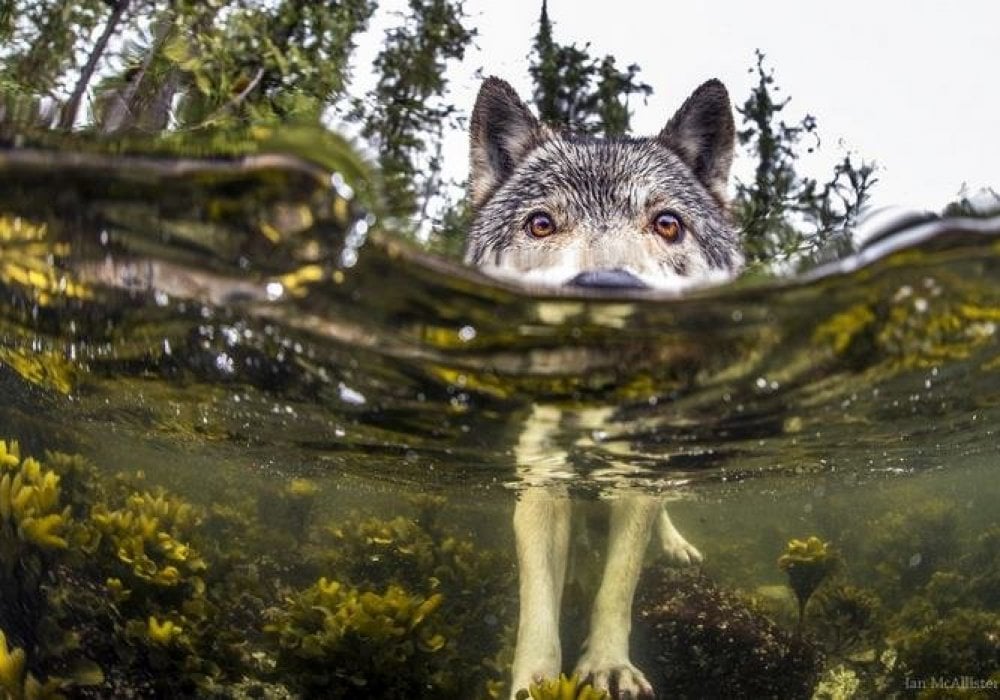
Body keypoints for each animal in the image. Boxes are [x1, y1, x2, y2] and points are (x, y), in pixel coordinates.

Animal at [462, 78, 744, 700]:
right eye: (541, 224)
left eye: (667, 224)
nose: (608, 289)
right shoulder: (540, 482)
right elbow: (538, 603)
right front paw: (535, 681)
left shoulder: (635, 481)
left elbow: (618, 585)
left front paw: (609, 667)